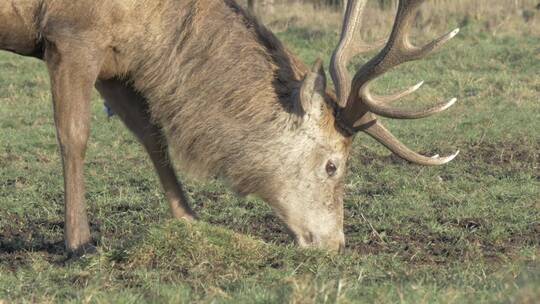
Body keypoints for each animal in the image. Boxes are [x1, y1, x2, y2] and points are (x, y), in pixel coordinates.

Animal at [1, 0, 460, 255]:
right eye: (332, 165)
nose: (336, 244)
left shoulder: (117, 59)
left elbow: (152, 135)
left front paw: (191, 220)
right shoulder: (71, 35)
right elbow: (73, 136)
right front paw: (79, 243)